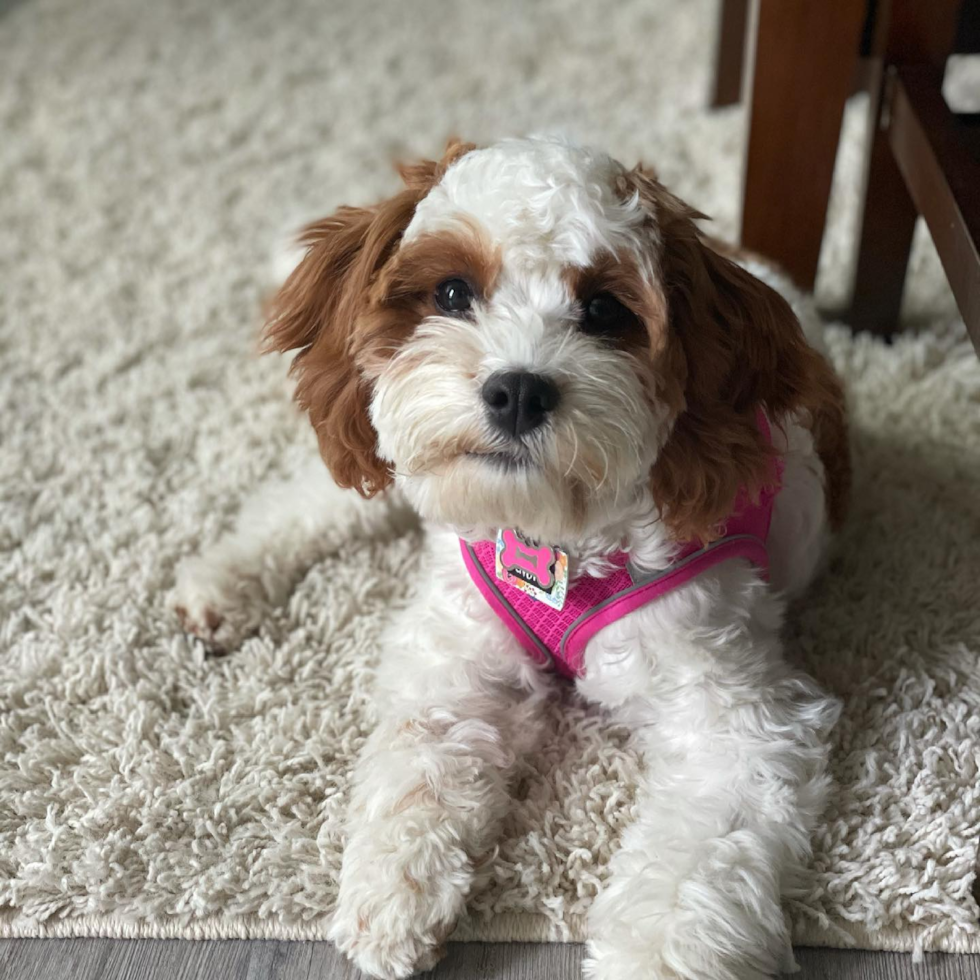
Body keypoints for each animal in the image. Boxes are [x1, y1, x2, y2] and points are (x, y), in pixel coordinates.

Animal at [174, 136, 848, 980]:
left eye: (605, 311)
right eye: (453, 291)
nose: (518, 391)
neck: (556, 541)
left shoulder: (740, 723)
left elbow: (696, 867)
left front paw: (653, 956)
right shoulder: (456, 660)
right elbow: (418, 773)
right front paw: (392, 894)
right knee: (303, 506)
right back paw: (220, 583)